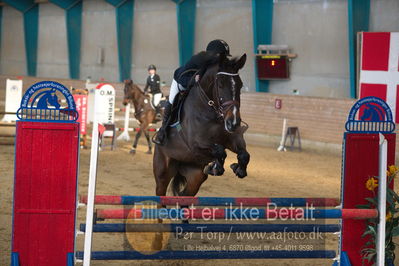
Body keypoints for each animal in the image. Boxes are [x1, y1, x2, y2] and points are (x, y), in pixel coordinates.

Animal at [153, 54, 250, 196]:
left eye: (240, 85)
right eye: (220, 84)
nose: (233, 123)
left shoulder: (232, 139)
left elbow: (243, 155)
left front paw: (238, 169)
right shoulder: (195, 144)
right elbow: (219, 151)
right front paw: (216, 167)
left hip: (195, 176)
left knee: (184, 194)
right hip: (163, 172)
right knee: (161, 190)